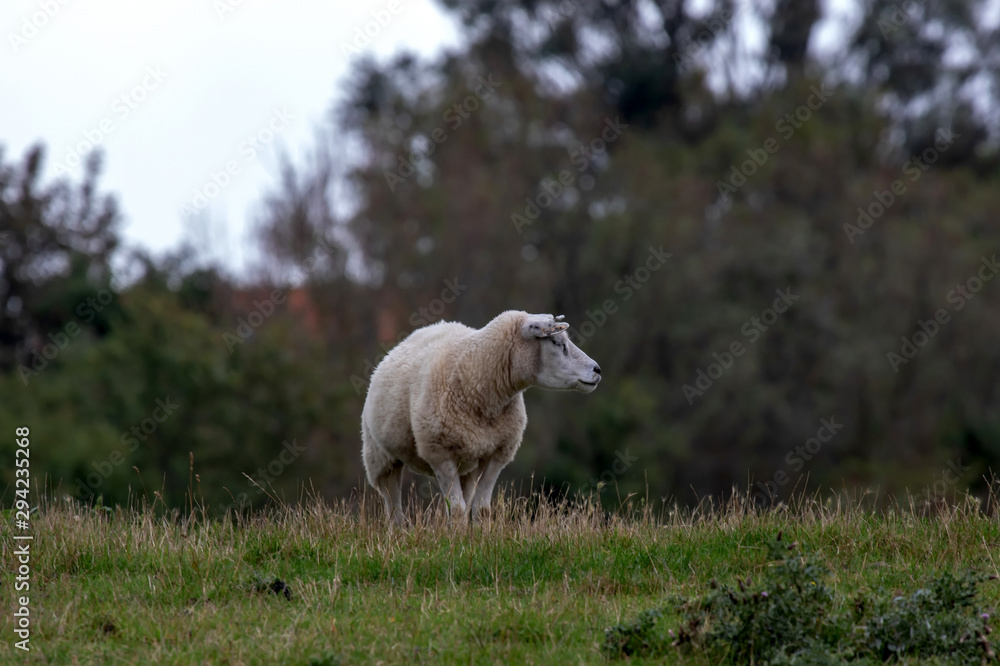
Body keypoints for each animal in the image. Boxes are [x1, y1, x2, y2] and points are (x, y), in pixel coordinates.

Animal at [361, 310, 602, 525]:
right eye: (556, 342)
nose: (597, 369)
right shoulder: (439, 452)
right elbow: (457, 509)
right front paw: (456, 542)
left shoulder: (498, 453)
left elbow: (481, 508)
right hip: (380, 457)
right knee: (393, 508)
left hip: (468, 463)